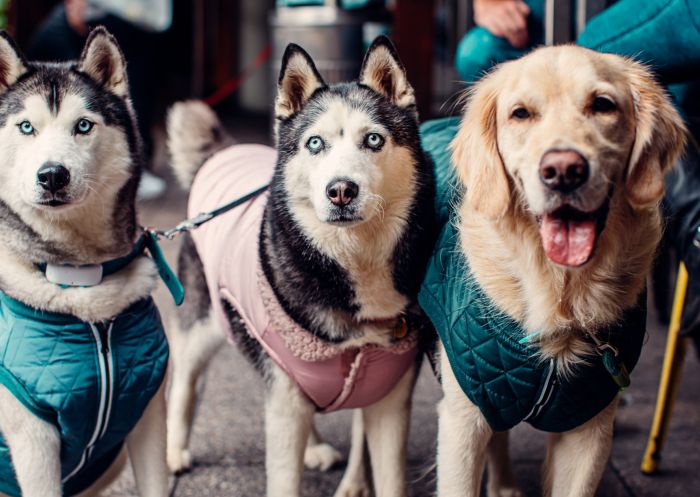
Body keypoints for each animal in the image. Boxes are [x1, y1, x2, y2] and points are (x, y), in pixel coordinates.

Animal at [166, 37, 434, 496]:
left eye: (374, 139)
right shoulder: (284, 393)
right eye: (314, 144)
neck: (353, 263)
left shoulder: (390, 401)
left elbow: (390, 477)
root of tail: (225, 151)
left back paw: (315, 447)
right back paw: (173, 452)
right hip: (203, 321)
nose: (341, 190)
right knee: (184, 378)